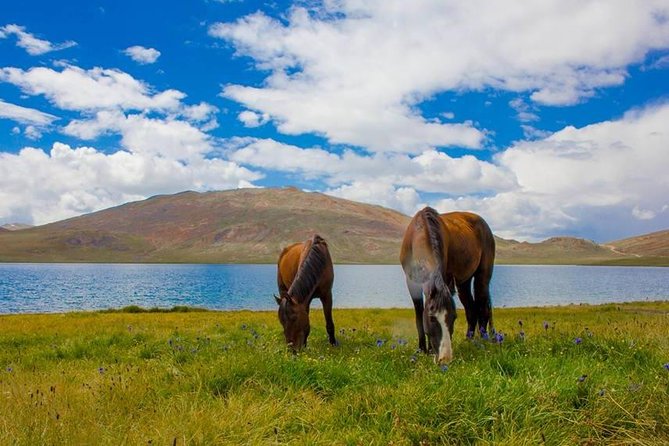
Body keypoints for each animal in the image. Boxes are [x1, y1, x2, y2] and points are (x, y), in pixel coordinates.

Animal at [400, 207, 494, 364]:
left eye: (454, 317)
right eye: (432, 318)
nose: (445, 358)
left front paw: (430, 350)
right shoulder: (411, 282)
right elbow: (419, 315)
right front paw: (422, 349)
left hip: (483, 277)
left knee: (483, 307)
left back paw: (483, 340)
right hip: (463, 283)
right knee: (471, 309)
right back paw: (469, 340)